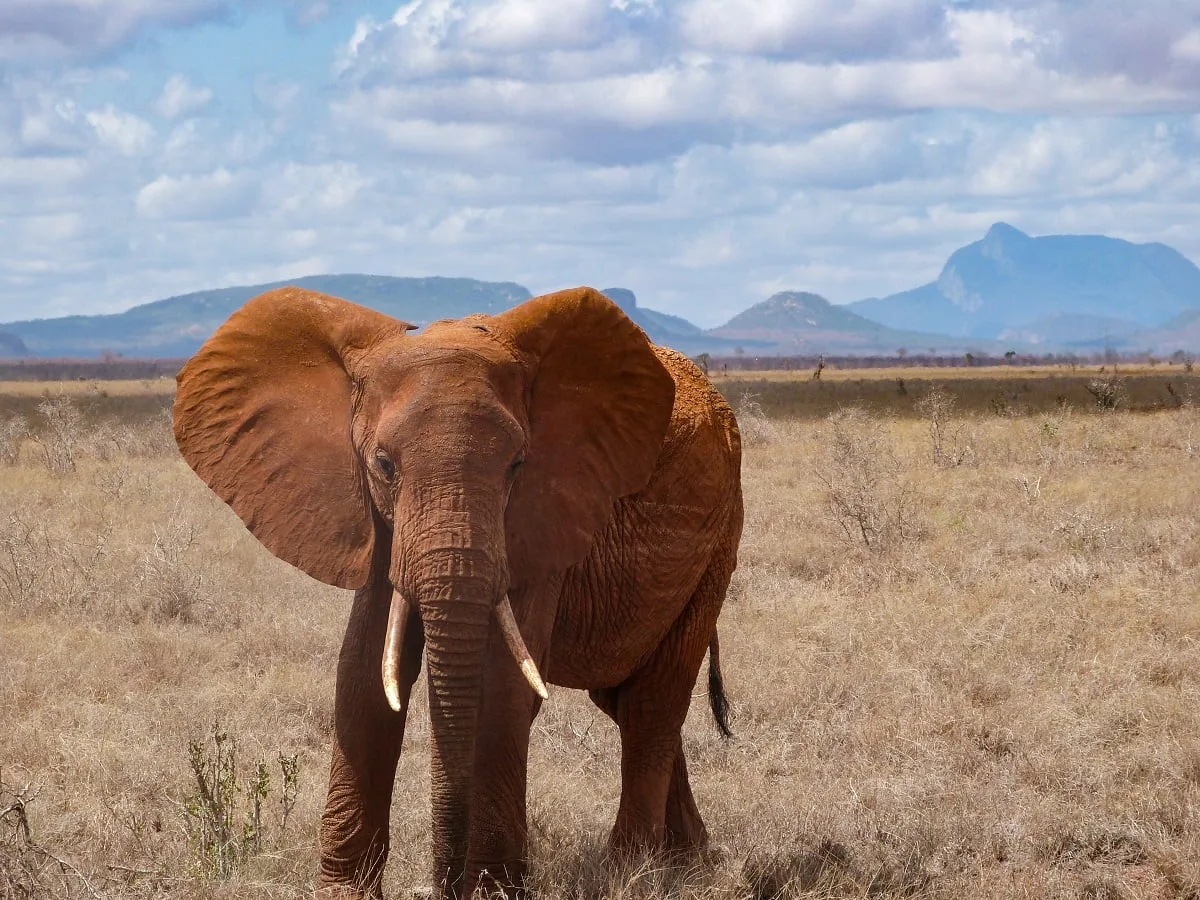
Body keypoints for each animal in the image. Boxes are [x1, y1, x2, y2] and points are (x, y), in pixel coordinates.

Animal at [172, 285, 744, 899]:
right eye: (382, 463)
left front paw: (492, 890)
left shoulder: (542, 515)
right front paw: (345, 893)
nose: (441, 885)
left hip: (720, 538)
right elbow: (363, 673)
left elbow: (502, 684)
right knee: (624, 696)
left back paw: (630, 872)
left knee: (652, 702)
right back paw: (686, 860)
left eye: (518, 464)